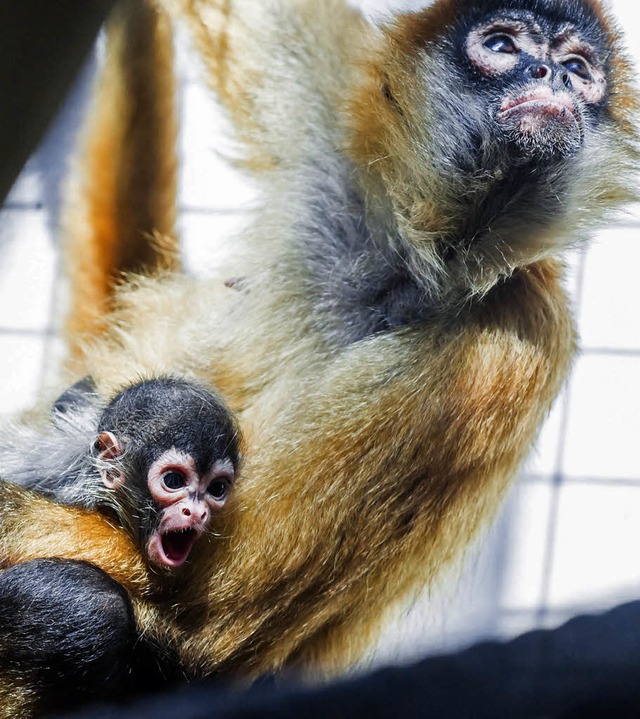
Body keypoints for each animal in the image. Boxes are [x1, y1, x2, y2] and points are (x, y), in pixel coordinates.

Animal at [0, 0, 636, 716]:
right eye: (503, 45)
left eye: (579, 68)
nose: (550, 73)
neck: (416, 267)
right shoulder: (345, 145)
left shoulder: (513, 341)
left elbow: (202, 625)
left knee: (81, 607)